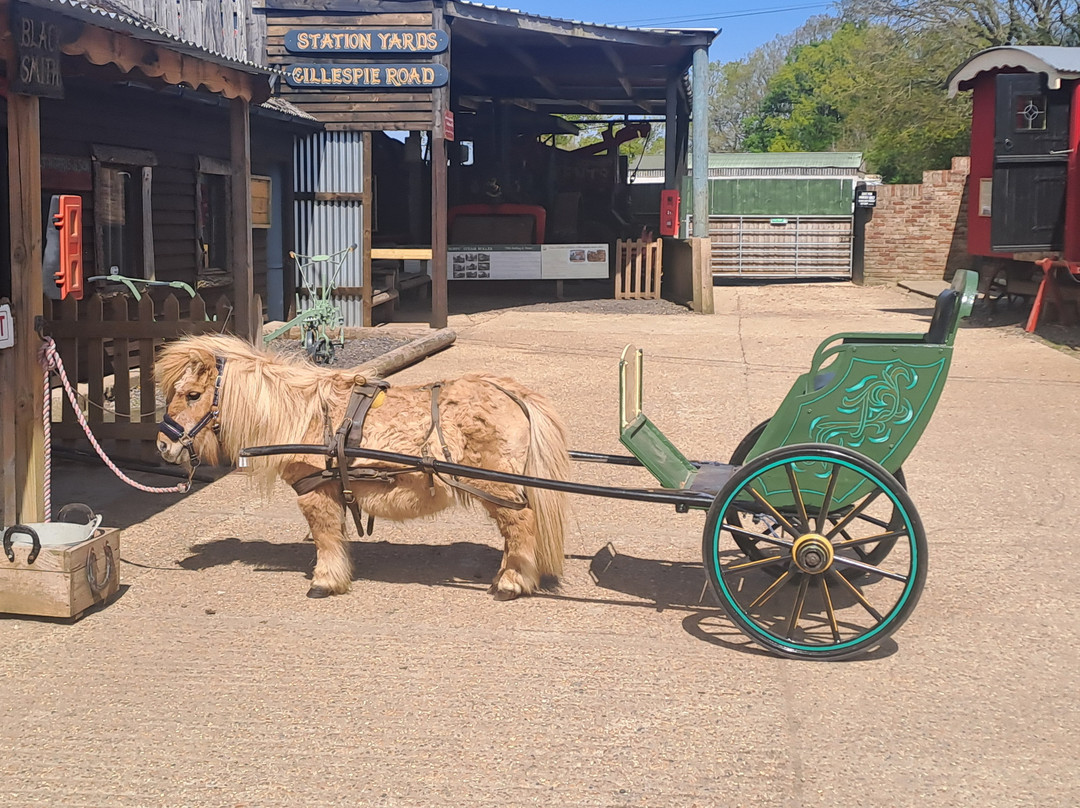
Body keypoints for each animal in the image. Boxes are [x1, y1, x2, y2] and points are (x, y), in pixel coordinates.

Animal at [155, 333, 570, 600]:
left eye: (192, 395)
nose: (163, 444)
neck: (303, 413)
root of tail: (512, 392)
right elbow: (334, 536)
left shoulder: (315, 492)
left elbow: (324, 537)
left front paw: (325, 581)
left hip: (496, 486)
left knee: (521, 525)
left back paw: (513, 582)